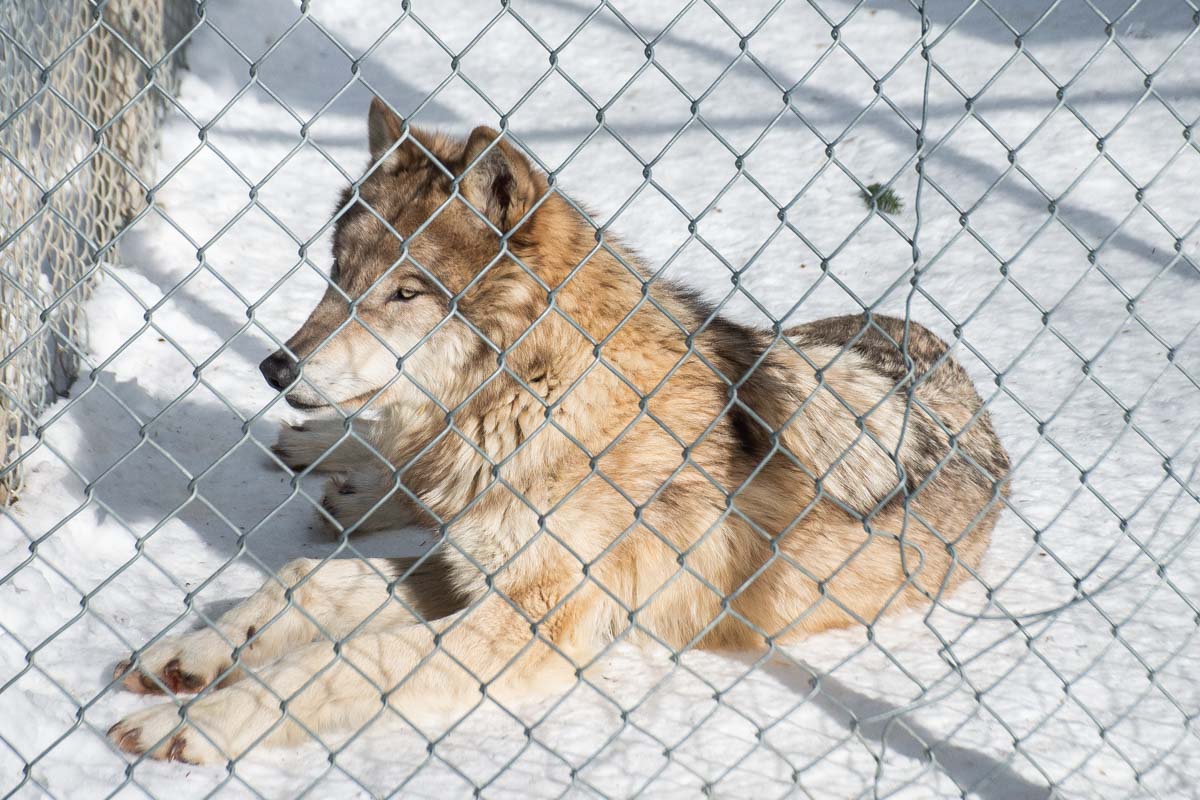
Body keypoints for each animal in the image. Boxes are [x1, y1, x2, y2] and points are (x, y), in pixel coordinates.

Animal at [108, 98, 1010, 764]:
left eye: (406, 292)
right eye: (338, 275)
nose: (275, 368)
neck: (534, 400)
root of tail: (940, 347)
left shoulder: (528, 621)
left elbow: (340, 657)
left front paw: (196, 724)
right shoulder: (466, 565)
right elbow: (303, 581)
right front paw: (188, 655)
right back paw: (329, 460)